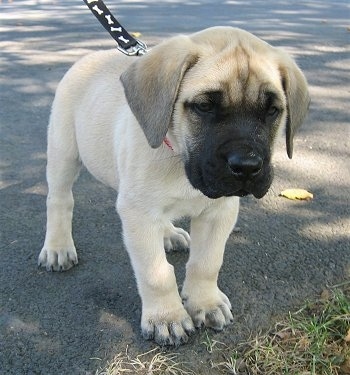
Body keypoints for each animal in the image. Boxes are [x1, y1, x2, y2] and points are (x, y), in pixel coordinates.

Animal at [39, 27, 310, 346]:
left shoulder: (219, 212)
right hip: (64, 153)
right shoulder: (139, 214)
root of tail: (89, 57)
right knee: (60, 201)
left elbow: (207, 262)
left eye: (272, 111)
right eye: (204, 106)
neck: (179, 158)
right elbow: (156, 273)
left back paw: (169, 233)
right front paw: (166, 318)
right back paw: (58, 247)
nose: (246, 167)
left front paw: (205, 303)